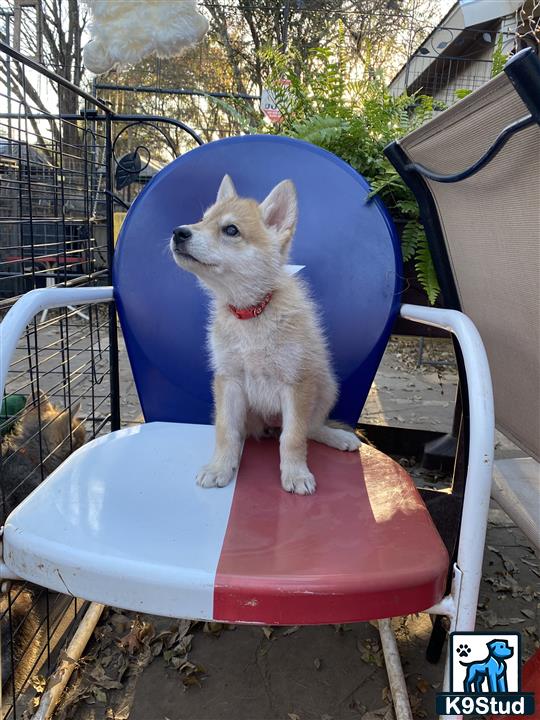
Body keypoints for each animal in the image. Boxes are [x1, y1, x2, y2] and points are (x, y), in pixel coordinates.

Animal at [171, 177, 360, 498]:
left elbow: (293, 437)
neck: (251, 315)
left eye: (231, 230)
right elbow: (226, 432)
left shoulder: (296, 384)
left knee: (310, 428)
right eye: (202, 219)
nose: (178, 232)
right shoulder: (229, 381)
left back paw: (337, 437)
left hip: (325, 386)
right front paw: (220, 467)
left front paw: (296, 473)